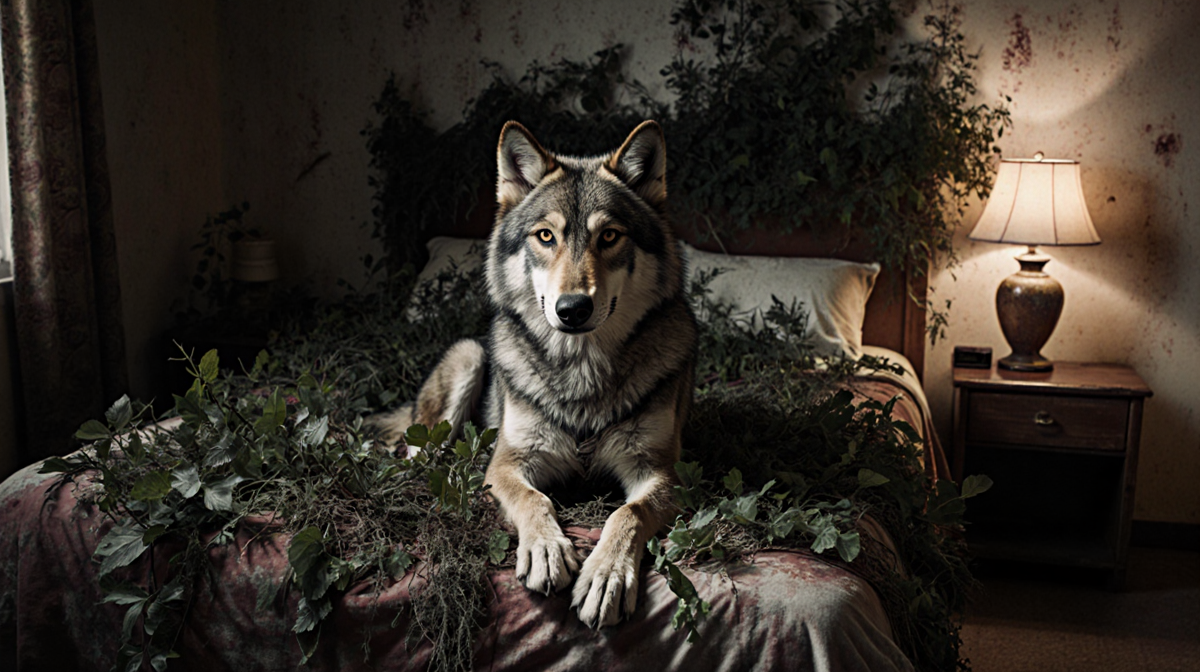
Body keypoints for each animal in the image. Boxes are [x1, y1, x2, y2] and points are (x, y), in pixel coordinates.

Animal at [405, 120, 697, 628]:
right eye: (545, 236)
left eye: (609, 236)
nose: (573, 308)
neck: (581, 371)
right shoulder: (507, 464)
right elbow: (534, 500)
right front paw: (546, 550)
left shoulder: (660, 473)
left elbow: (627, 514)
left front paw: (606, 576)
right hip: (468, 358)